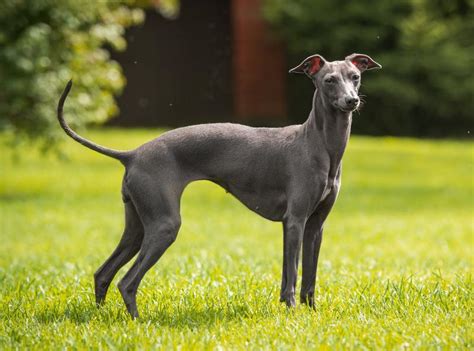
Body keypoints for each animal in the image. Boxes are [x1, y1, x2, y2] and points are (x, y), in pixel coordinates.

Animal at [56, 52, 382, 320]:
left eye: (355, 76)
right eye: (329, 80)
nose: (352, 101)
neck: (319, 145)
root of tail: (133, 153)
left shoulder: (315, 226)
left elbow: (308, 277)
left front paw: (311, 312)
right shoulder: (295, 221)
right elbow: (291, 274)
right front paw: (291, 312)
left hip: (137, 226)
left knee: (103, 273)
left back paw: (101, 316)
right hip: (164, 225)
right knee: (127, 281)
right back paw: (137, 321)